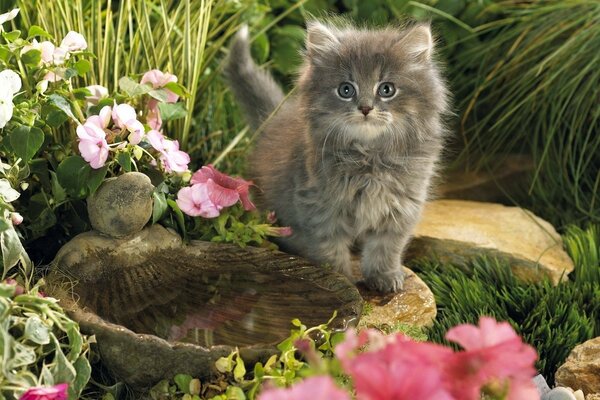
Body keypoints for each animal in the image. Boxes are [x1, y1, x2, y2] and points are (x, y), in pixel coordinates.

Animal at [226, 20, 450, 292]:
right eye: (346, 90)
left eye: (387, 89)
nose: (365, 108)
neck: (369, 158)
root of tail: (271, 122)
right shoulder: (319, 207)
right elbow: (330, 251)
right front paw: (340, 280)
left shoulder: (402, 206)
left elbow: (385, 248)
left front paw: (384, 277)